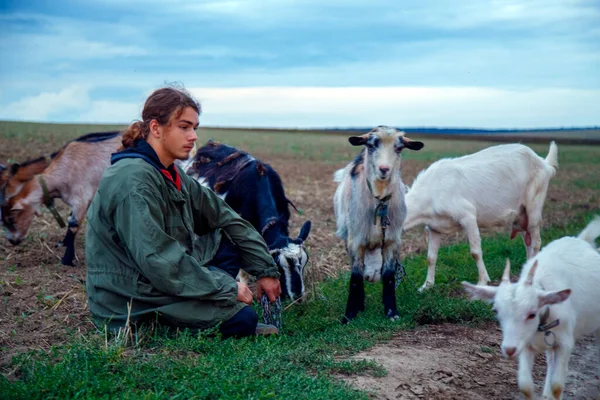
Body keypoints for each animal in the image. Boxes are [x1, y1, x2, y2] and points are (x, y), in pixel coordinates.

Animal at [0, 131, 123, 268]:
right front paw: (63, 243)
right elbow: (70, 220)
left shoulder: (81, 198)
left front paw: (67, 260)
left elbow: (73, 225)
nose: (12, 241)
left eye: (11, 217)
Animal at [332, 126, 426, 324]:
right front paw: (349, 316)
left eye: (399, 148)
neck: (379, 200)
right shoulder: (355, 240)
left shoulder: (392, 240)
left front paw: (391, 312)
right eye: (371, 145)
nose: (384, 169)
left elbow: (389, 275)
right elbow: (356, 277)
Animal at [404, 141, 556, 290]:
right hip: (521, 215)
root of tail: (544, 163)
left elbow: (475, 252)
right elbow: (431, 257)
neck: (430, 193)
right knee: (527, 242)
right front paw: (427, 285)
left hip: (534, 206)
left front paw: (482, 281)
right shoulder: (434, 227)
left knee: (536, 242)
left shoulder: (467, 216)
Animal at [464, 216, 600, 400]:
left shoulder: (565, 342)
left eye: (531, 314)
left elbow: (558, 385)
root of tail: (581, 240)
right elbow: (525, 386)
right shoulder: (525, 343)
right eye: (496, 312)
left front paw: (554, 391)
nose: (509, 350)